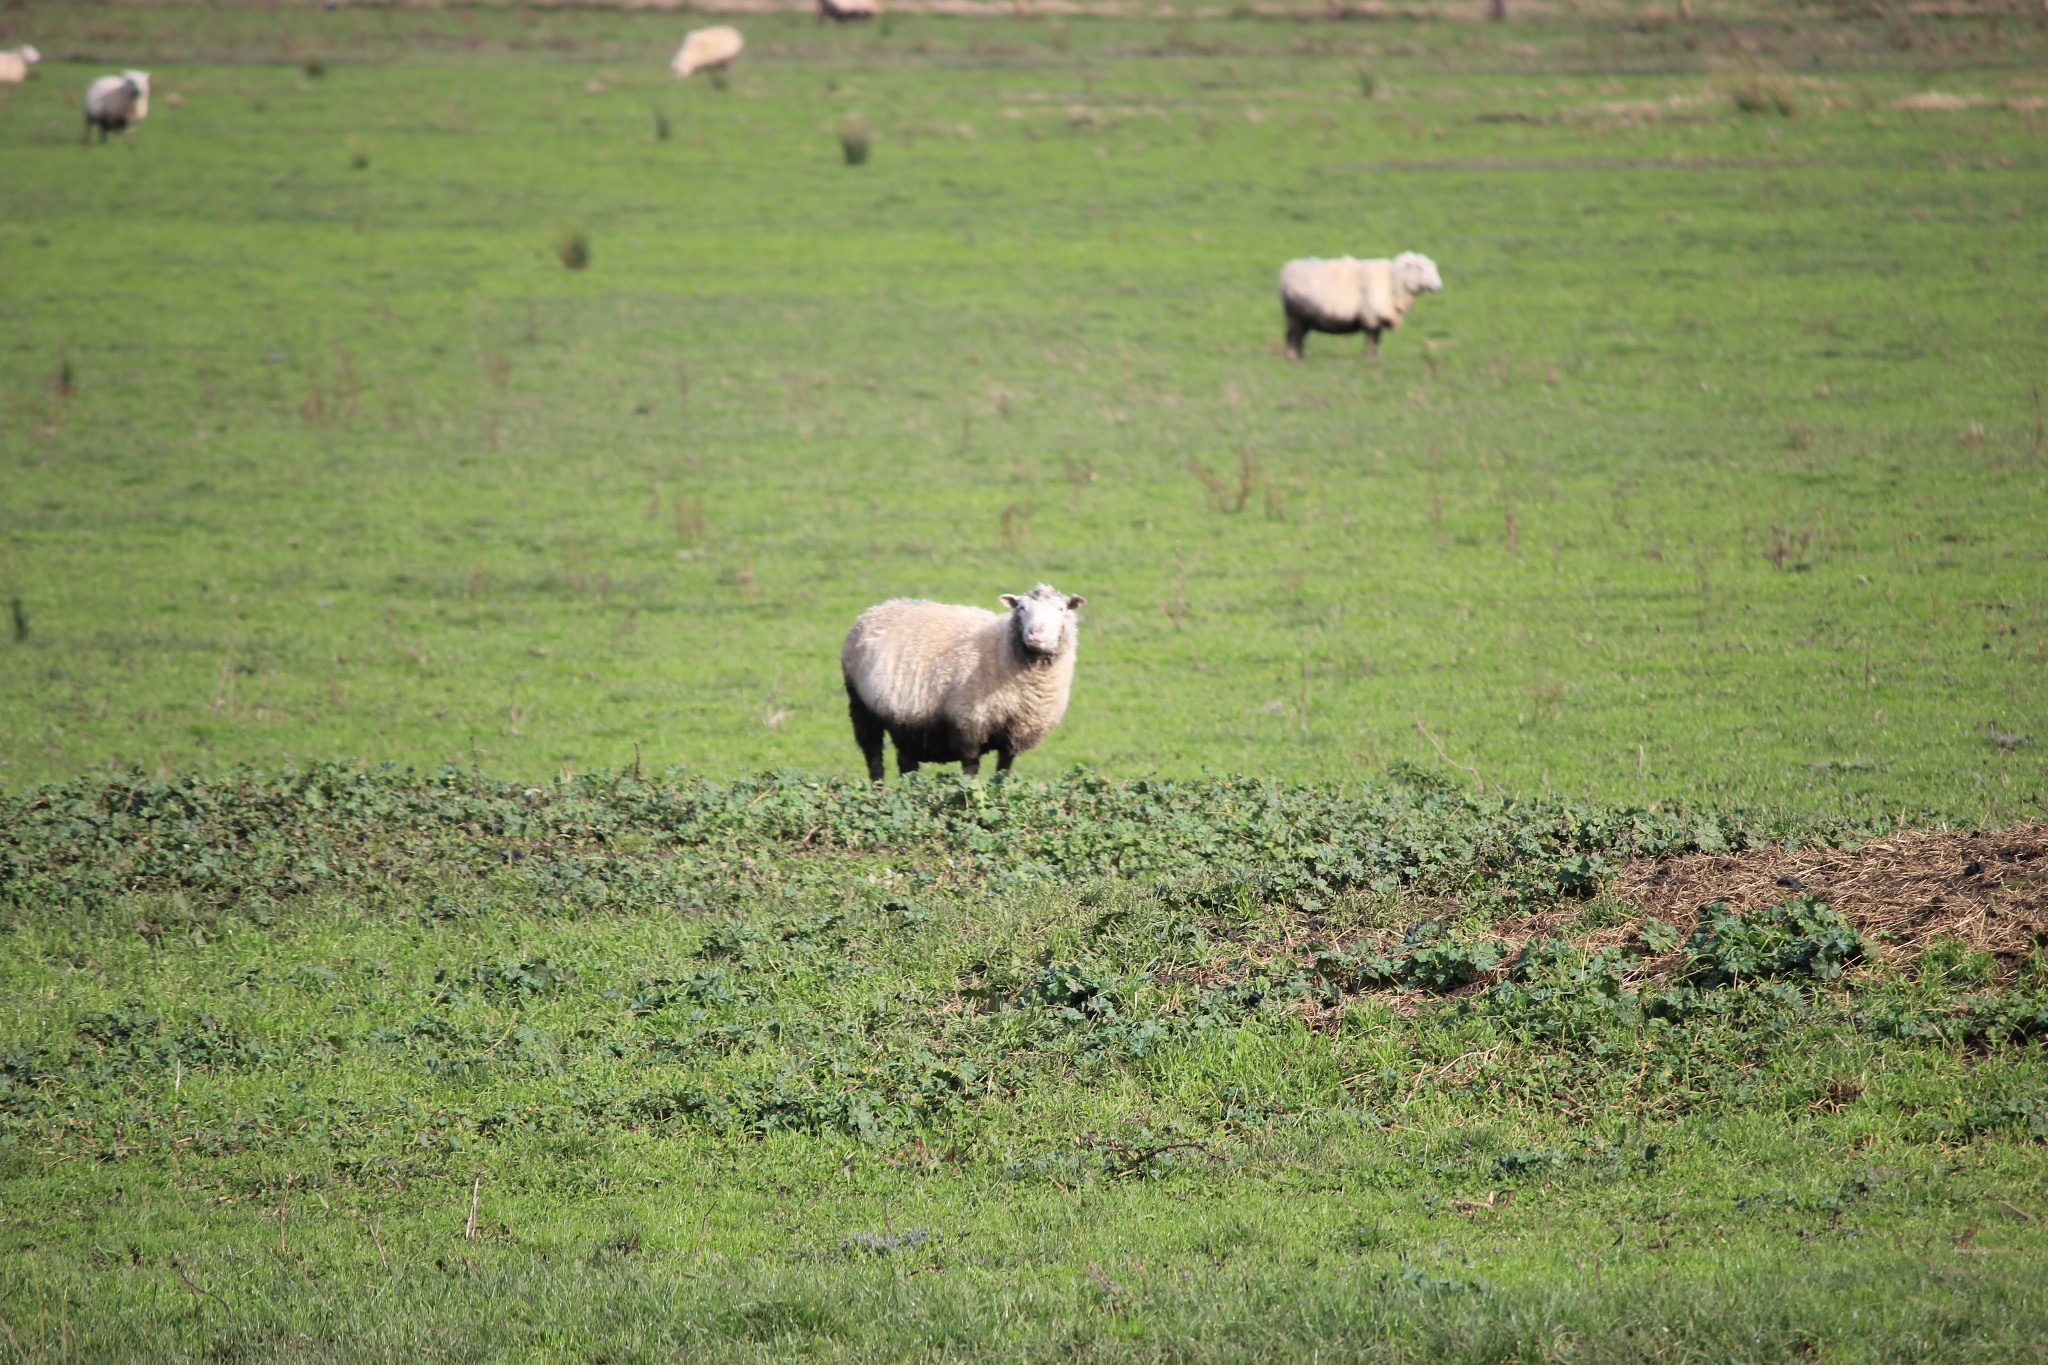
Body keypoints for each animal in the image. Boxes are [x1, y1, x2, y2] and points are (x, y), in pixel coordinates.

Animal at [839, 585, 1089, 785]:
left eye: (1061, 609)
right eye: (1021, 608)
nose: (1035, 634)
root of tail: (878, 607)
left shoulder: (1015, 732)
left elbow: (1004, 769)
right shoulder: (969, 722)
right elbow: (971, 770)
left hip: (907, 717)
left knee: (906, 762)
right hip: (861, 705)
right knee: (873, 756)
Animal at [1277, 249, 1441, 360]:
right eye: (1420, 268)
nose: (1438, 286)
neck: (1394, 282)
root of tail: (1287, 269)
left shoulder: (1378, 318)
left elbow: (1378, 338)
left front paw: (1377, 357)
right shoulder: (1371, 316)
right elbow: (1370, 337)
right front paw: (1368, 358)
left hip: (1304, 317)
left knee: (1299, 337)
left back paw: (1301, 357)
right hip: (1295, 314)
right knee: (1293, 336)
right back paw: (1293, 358)